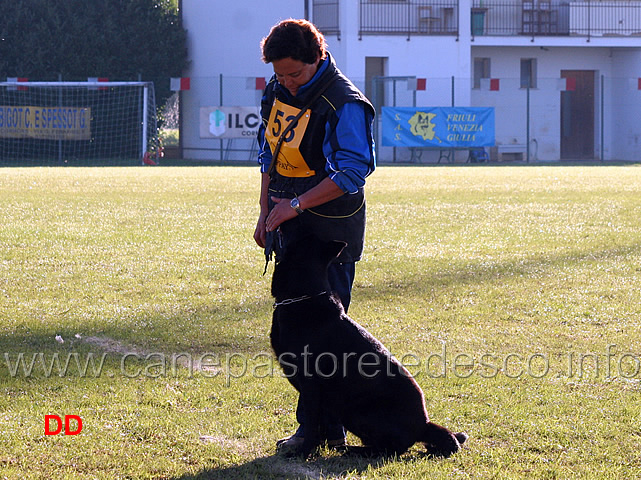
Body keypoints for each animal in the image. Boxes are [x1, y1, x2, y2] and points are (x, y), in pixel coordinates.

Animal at [268, 235, 464, 458]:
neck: (304, 295)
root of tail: (424, 426)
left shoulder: (311, 385)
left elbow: (311, 424)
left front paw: (303, 452)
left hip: (357, 411)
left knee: (389, 450)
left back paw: (353, 450)